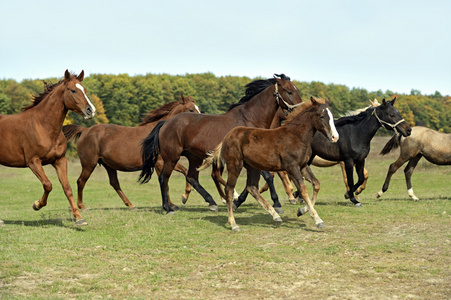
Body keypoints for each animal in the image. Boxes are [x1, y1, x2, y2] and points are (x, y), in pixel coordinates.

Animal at [0, 69, 95, 225]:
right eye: (73, 90)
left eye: (85, 90)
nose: (90, 110)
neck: (43, 126)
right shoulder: (33, 161)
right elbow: (48, 185)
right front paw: (37, 205)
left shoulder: (60, 160)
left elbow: (67, 188)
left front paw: (79, 218)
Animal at [62, 95, 200, 211]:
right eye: (191, 110)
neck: (159, 132)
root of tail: (85, 130)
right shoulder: (160, 163)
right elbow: (165, 182)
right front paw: (171, 204)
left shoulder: (167, 161)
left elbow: (184, 172)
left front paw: (183, 197)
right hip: (89, 164)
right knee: (81, 181)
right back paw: (82, 206)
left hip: (109, 166)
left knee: (114, 183)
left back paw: (131, 205)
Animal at [139, 74, 306, 212]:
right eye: (289, 92)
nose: (301, 111)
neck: (250, 119)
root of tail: (166, 122)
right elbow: (268, 177)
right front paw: (277, 204)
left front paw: (237, 201)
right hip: (171, 157)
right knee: (164, 178)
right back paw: (168, 207)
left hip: (194, 158)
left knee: (192, 178)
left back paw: (211, 203)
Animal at [199, 97, 340, 231]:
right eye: (322, 116)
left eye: (332, 115)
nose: (335, 137)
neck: (296, 136)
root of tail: (227, 137)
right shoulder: (292, 167)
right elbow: (303, 190)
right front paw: (318, 220)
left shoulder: (303, 166)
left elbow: (316, 184)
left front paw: (301, 211)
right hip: (235, 165)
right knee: (229, 189)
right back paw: (233, 224)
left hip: (253, 167)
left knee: (252, 188)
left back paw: (275, 215)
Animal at [235, 96, 414, 209]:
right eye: (391, 114)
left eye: (398, 113)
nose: (408, 130)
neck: (356, 133)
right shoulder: (347, 161)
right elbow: (351, 180)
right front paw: (352, 197)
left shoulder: (360, 160)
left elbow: (361, 178)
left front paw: (351, 194)